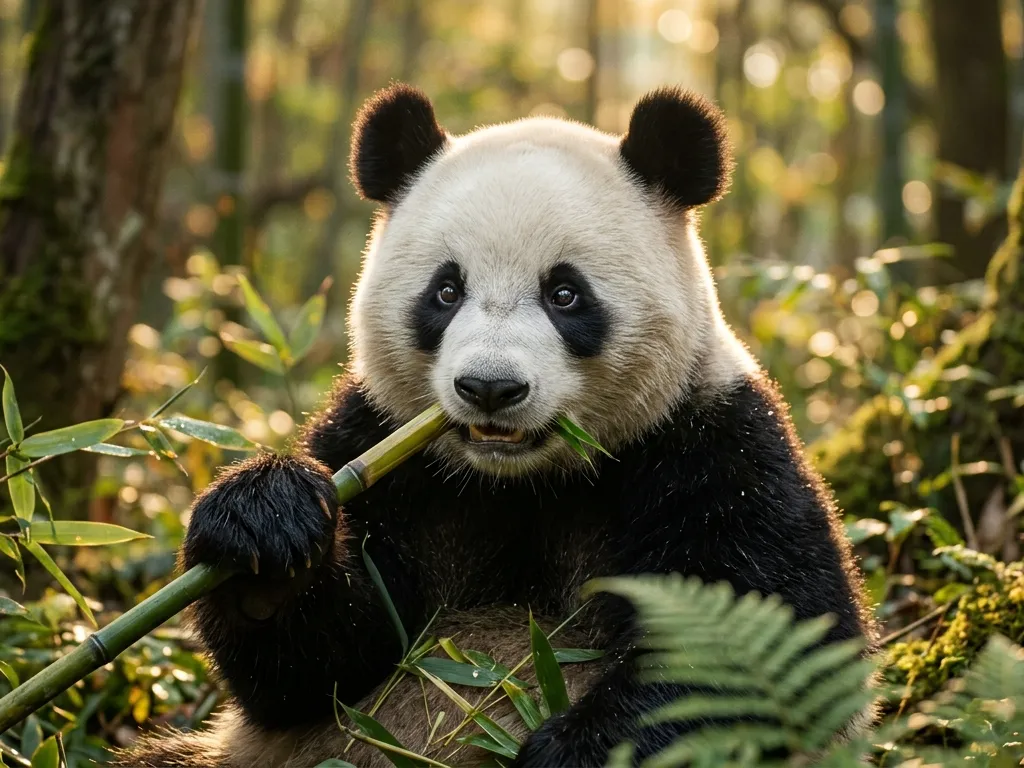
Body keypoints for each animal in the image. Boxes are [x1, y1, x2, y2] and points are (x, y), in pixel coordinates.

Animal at [117, 83, 878, 767]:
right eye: (446, 290)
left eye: (565, 293)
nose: (489, 388)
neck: (522, 483)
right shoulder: (380, 447)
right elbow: (314, 672)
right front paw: (266, 530)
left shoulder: (712, 444)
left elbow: (763, 649)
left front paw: (565, 752)